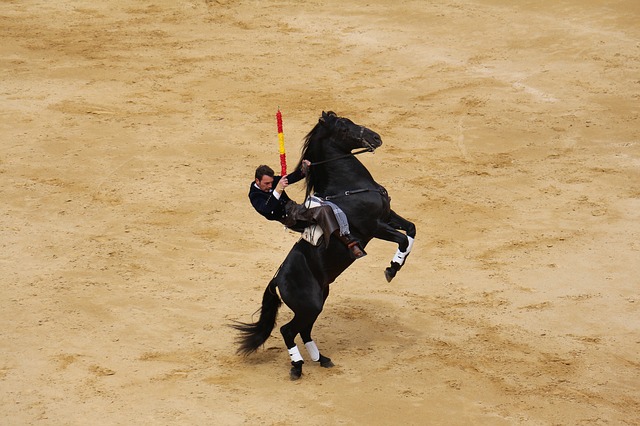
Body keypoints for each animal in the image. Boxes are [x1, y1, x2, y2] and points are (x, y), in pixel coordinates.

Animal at [232, 110, 418, 380]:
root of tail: (277, 279)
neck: (347, 186)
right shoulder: (374, 226)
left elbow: (411, 230)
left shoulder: (388, 215)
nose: (376, 137)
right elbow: (403, 238)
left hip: (318, 300)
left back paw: (322, 359)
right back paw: (297, 366)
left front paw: (397, 263)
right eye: (343, 127)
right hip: (309, 305)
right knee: (289, 330)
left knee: (304, 330)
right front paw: (391, 269)